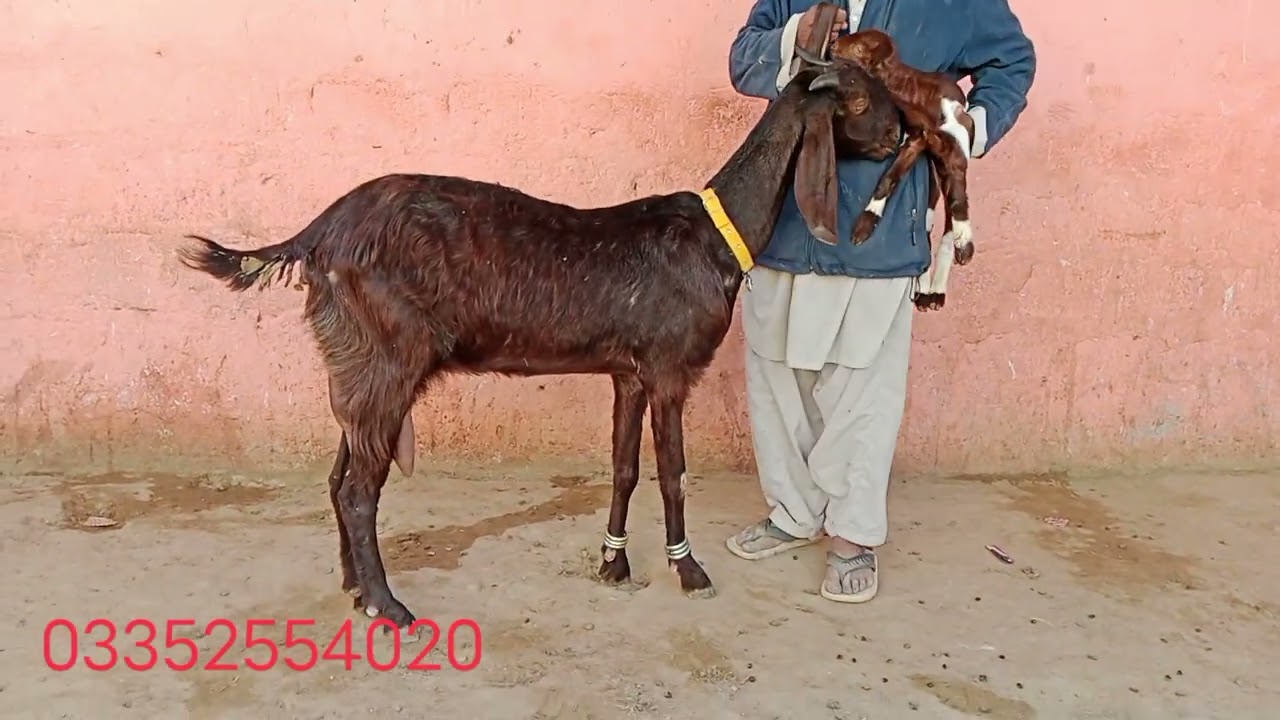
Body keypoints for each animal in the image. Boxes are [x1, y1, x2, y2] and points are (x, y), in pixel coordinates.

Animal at [175, 61, 903, 631]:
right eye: (860, 98)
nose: (903, 133)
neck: (715, 235)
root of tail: (317, 234)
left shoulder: (627, 372)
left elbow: (624, 467)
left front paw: (614, 561)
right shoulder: (669, 368)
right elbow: (672, 473)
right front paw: (689, 570)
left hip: (355, 366)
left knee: (337, 477)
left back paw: (357, 589)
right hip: (388, 358)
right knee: (357, 491)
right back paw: (390, 606)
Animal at [798, 28, 975, 310]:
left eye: (859, 48)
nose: (834, 44)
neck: (917, 95)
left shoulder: (956, 136)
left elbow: (959, 195)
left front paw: (965, 242)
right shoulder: (915, 139)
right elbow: (889, 178)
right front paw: (865, 224)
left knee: (946, 219)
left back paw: (939, 286)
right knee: (927, 216)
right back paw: (924, 289)